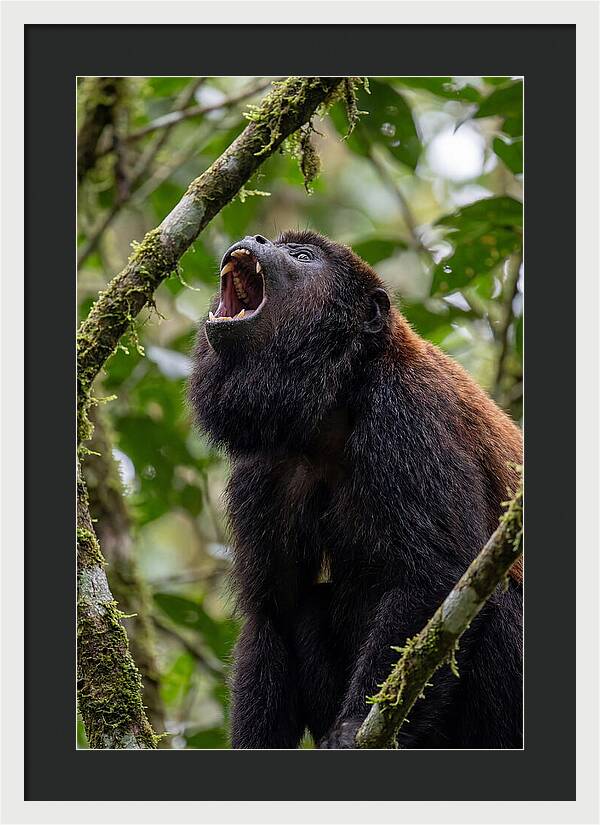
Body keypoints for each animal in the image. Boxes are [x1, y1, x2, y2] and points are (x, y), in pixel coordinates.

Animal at [188, 230, 523, 749]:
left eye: (302, 257)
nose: (256, 237)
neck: (338, 400)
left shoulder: (406, 414)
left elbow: (437, 576)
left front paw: (349, 730)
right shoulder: (265, 466)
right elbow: (273, 611)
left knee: (499, 597)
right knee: (307, 607)